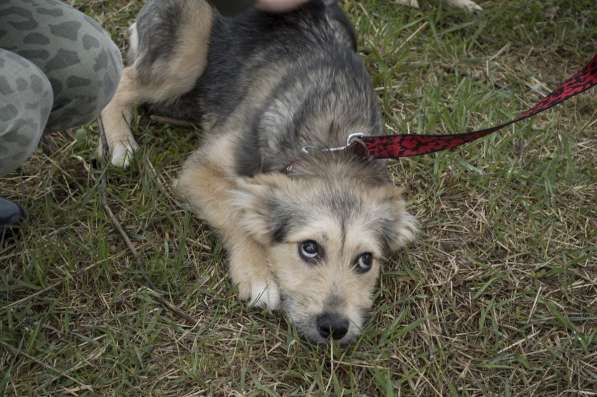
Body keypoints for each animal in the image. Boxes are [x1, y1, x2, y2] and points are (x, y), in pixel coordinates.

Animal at [100, 0, 416, 344]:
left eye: (365, 261)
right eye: (309, 248)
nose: (334, 327)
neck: (331, 148)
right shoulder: (200, 170)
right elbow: (236, 212)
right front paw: (257, 276)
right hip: (187, 49)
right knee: (123, 80)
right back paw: (120, 141)